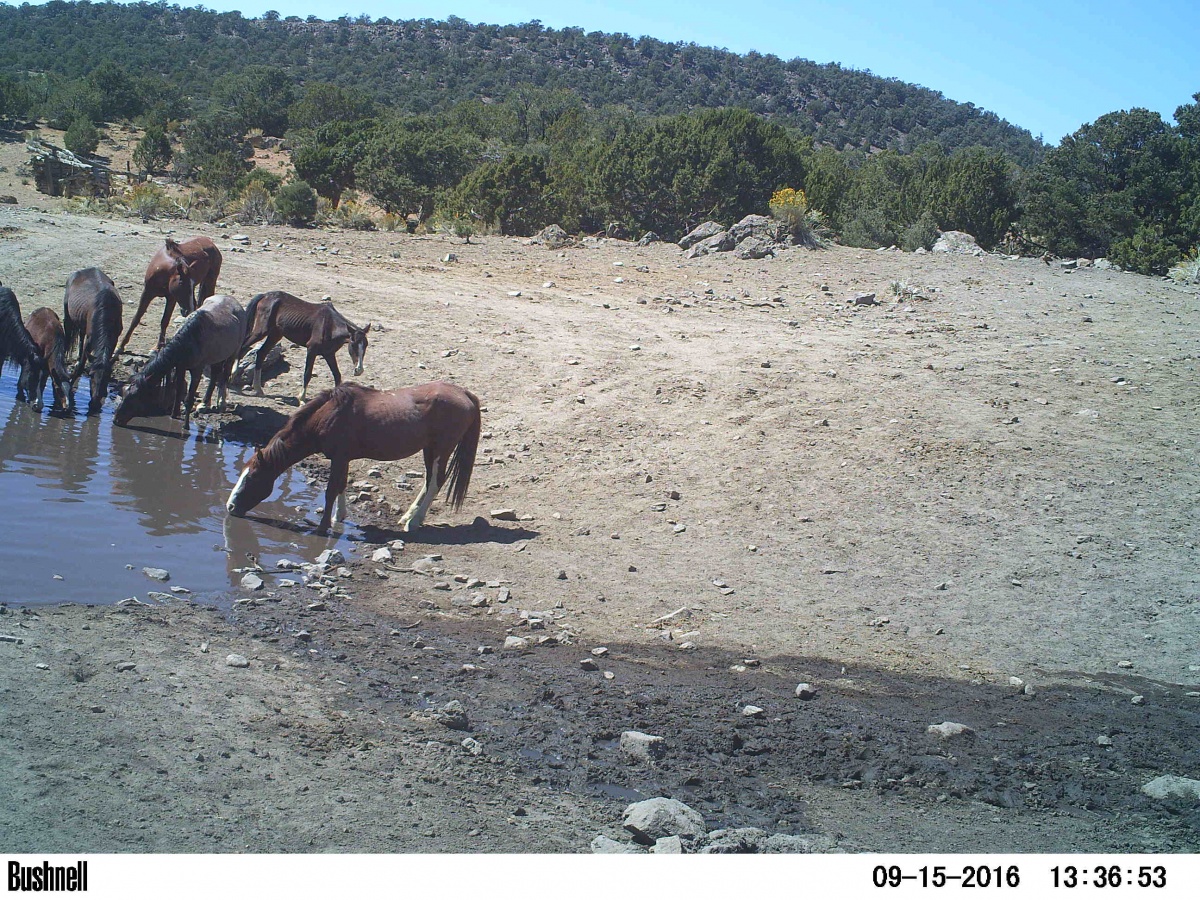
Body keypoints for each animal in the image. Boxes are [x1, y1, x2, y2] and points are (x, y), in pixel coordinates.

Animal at [62, 267, 122, 415]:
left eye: (107, 378)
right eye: (90, 375)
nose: (94, 405)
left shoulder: (114, 338)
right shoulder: (90, 340)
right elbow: (81, 365)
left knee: (81, 334)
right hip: (68, 317)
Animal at [115, 292, 249, 427]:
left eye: (135, 397)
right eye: (123, 392)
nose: (116, 420)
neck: (189, 340)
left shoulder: (197, 371)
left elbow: (189, 398)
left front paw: (186, 425)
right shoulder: (181, 367)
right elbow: (178, 391)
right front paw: (174, 415)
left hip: (233, 354)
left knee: (225, 374)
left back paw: (221, 404)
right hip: (217, 357)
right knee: (215, 375)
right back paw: (204, 404)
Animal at [226, 381, 480, 535]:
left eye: (252, 478)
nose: (229, 506)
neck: (327, 416)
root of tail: (464, 393)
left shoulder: (338, 458)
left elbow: (330, 490)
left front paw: (322, 527)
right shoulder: (344, 458)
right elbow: (341, 485)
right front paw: (339, 517)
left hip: (441, 450)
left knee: (436, 482)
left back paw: (414, 522)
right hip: (430, 450)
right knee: (429, 482)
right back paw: (409, 516)